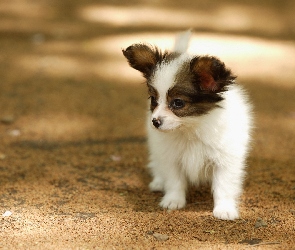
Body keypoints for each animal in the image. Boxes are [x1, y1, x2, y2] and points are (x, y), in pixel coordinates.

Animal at [123, 30, 253, 220]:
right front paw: (173, 201)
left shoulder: (226, 160)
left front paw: (224, 209)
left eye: (178, 103)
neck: (191, 128)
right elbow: (174, 181)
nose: (155, 122)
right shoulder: (171, 157)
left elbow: (224, 186)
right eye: (153, 99)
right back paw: (158, 182)